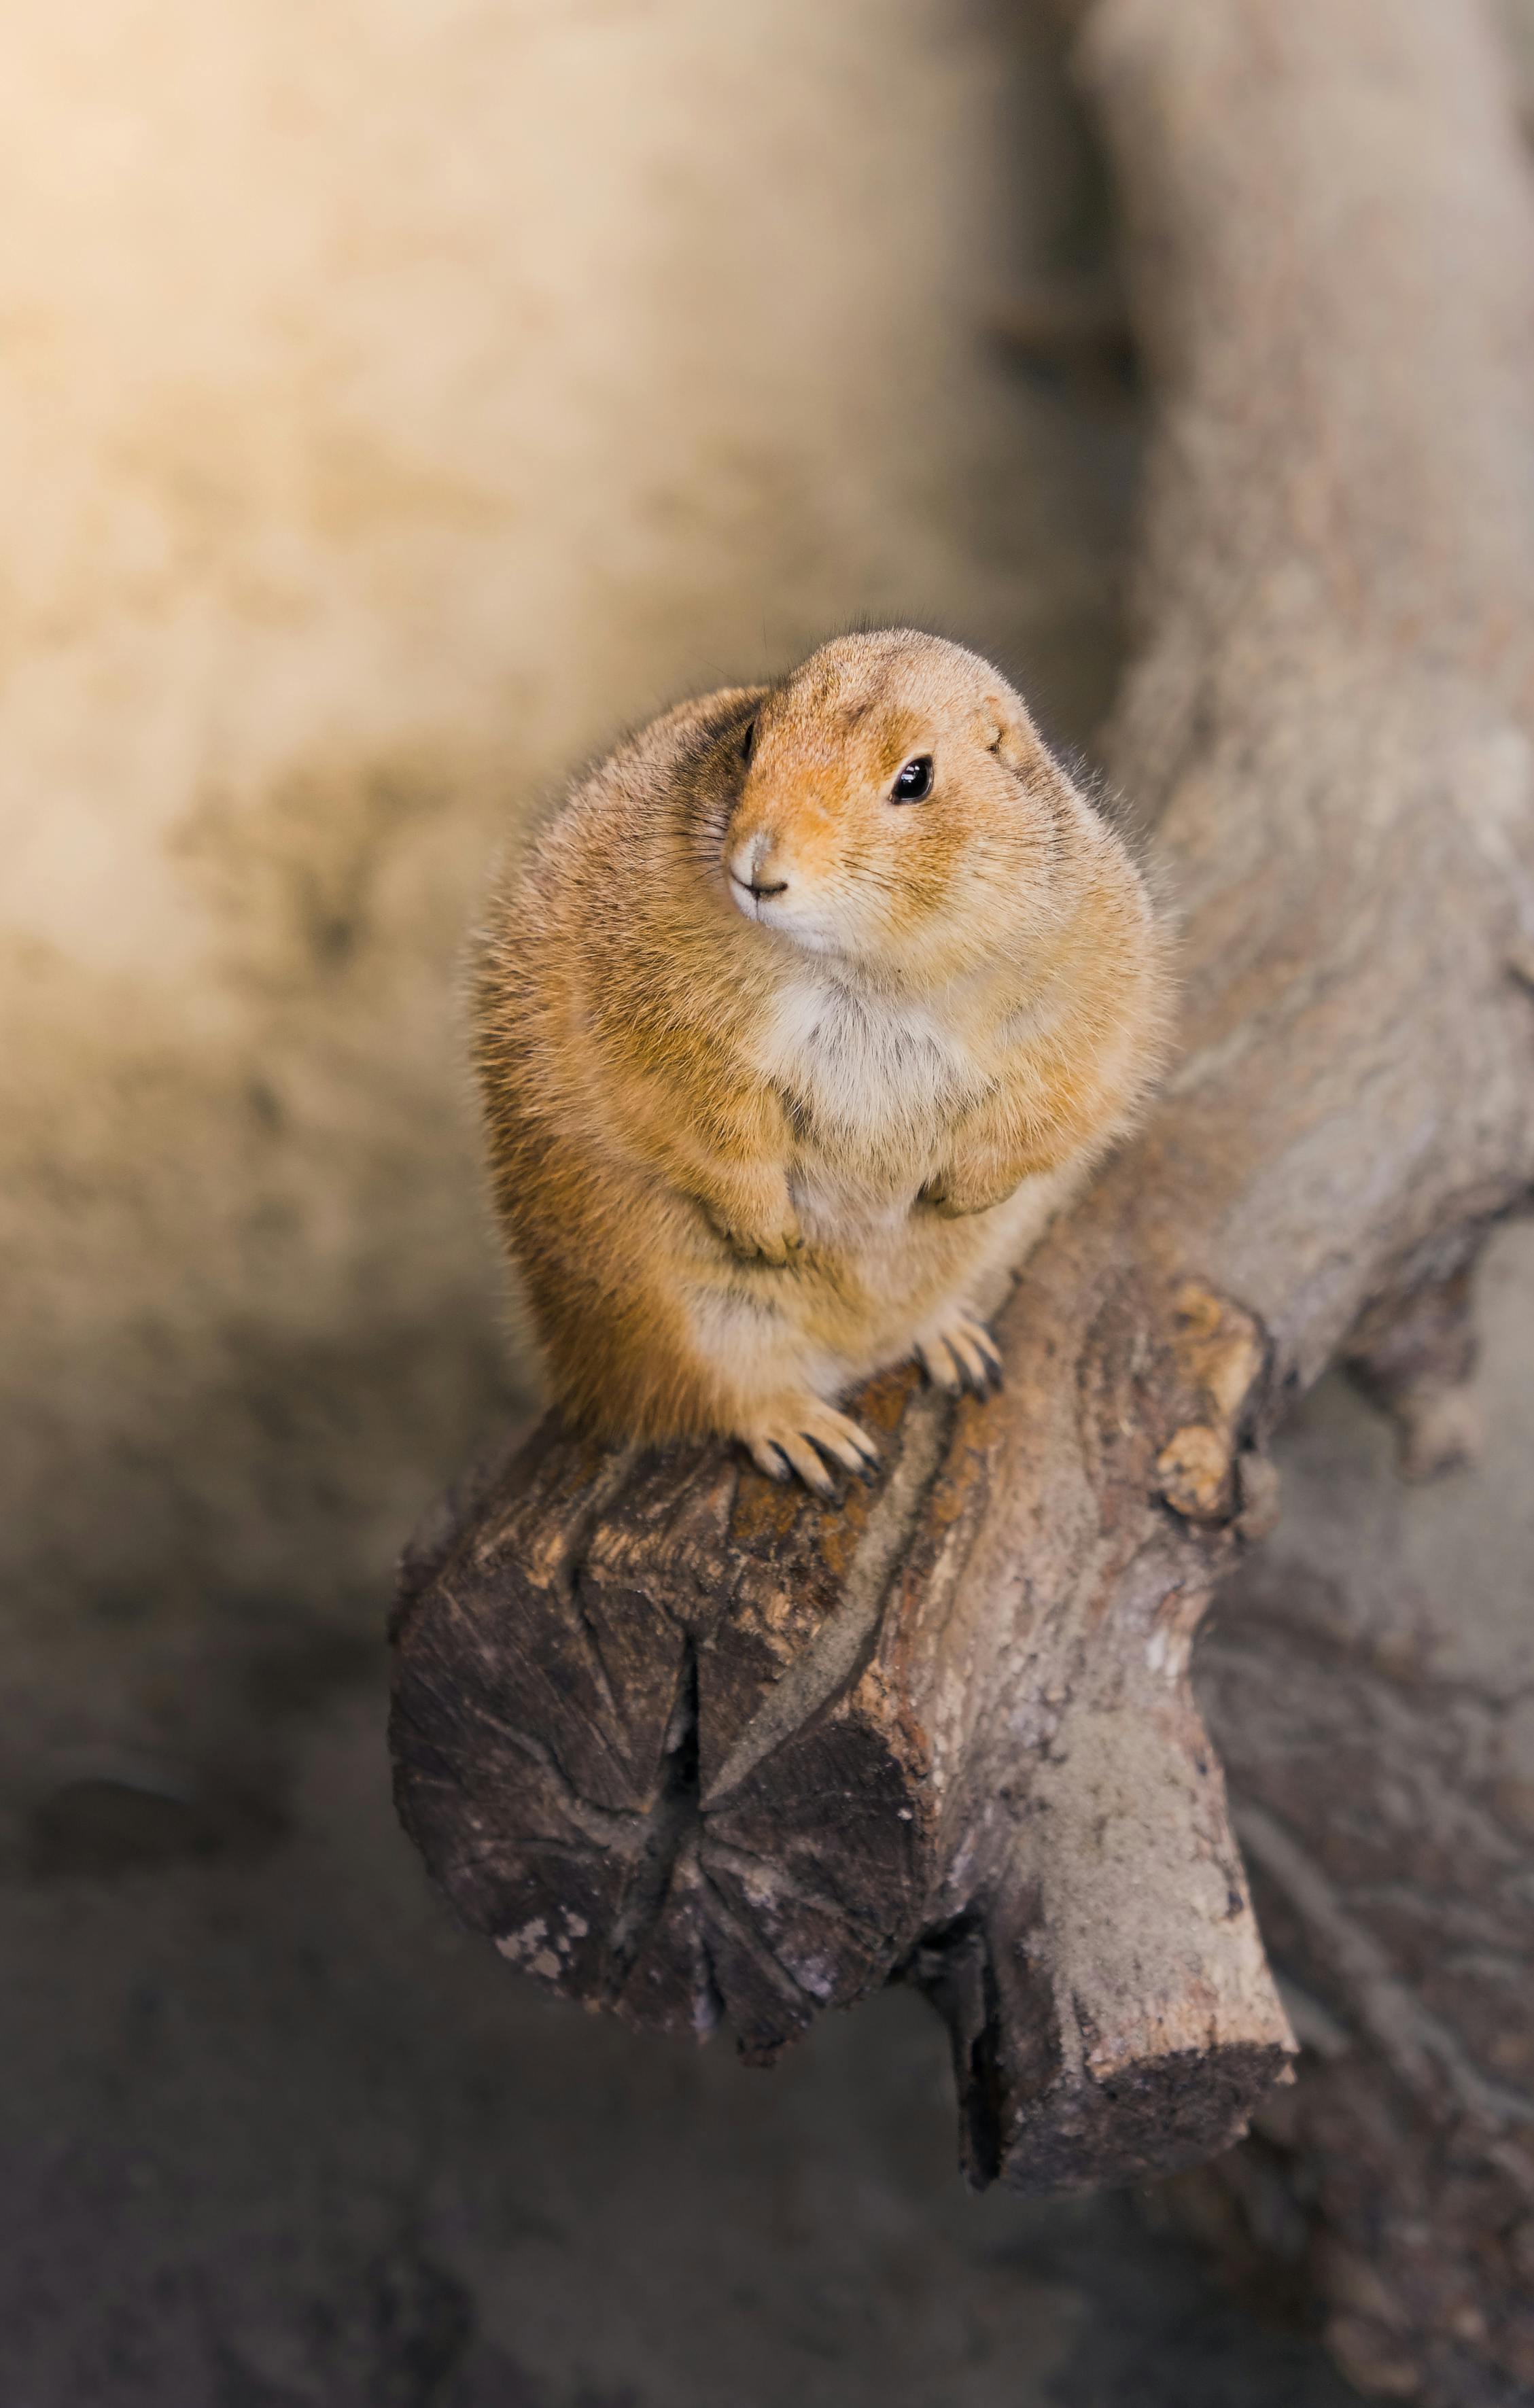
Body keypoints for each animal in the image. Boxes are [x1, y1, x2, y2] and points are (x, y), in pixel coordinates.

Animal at [470, 630, 1169, 1495]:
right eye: (748, 740)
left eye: (915, 778)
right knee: (714, 1395)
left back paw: (951, 1340)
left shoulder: (1096, 970)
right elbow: (696, 1112)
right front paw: (772, 1236)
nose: (757, 871)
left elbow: (1069, 1091)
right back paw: (811, 1435)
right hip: (665, 1316)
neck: (867, 967)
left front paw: (956, 1194)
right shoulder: (653, 1008)